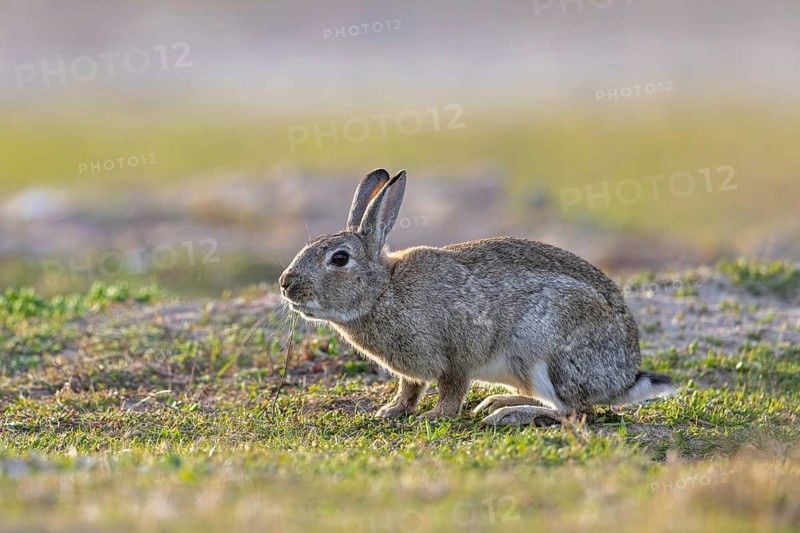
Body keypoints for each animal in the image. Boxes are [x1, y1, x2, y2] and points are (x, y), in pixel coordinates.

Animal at [279, 169, 676, 425]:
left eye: (339, 259)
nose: (285, 284)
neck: (382, 291)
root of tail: (625, 377)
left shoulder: (456, 355)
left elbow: (451, 390)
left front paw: (435, 416)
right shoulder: (412, 371)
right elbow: (409, 388)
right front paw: (391, 411)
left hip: (549, 353)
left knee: (577, 412)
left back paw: (509, 415)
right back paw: (498, 401)